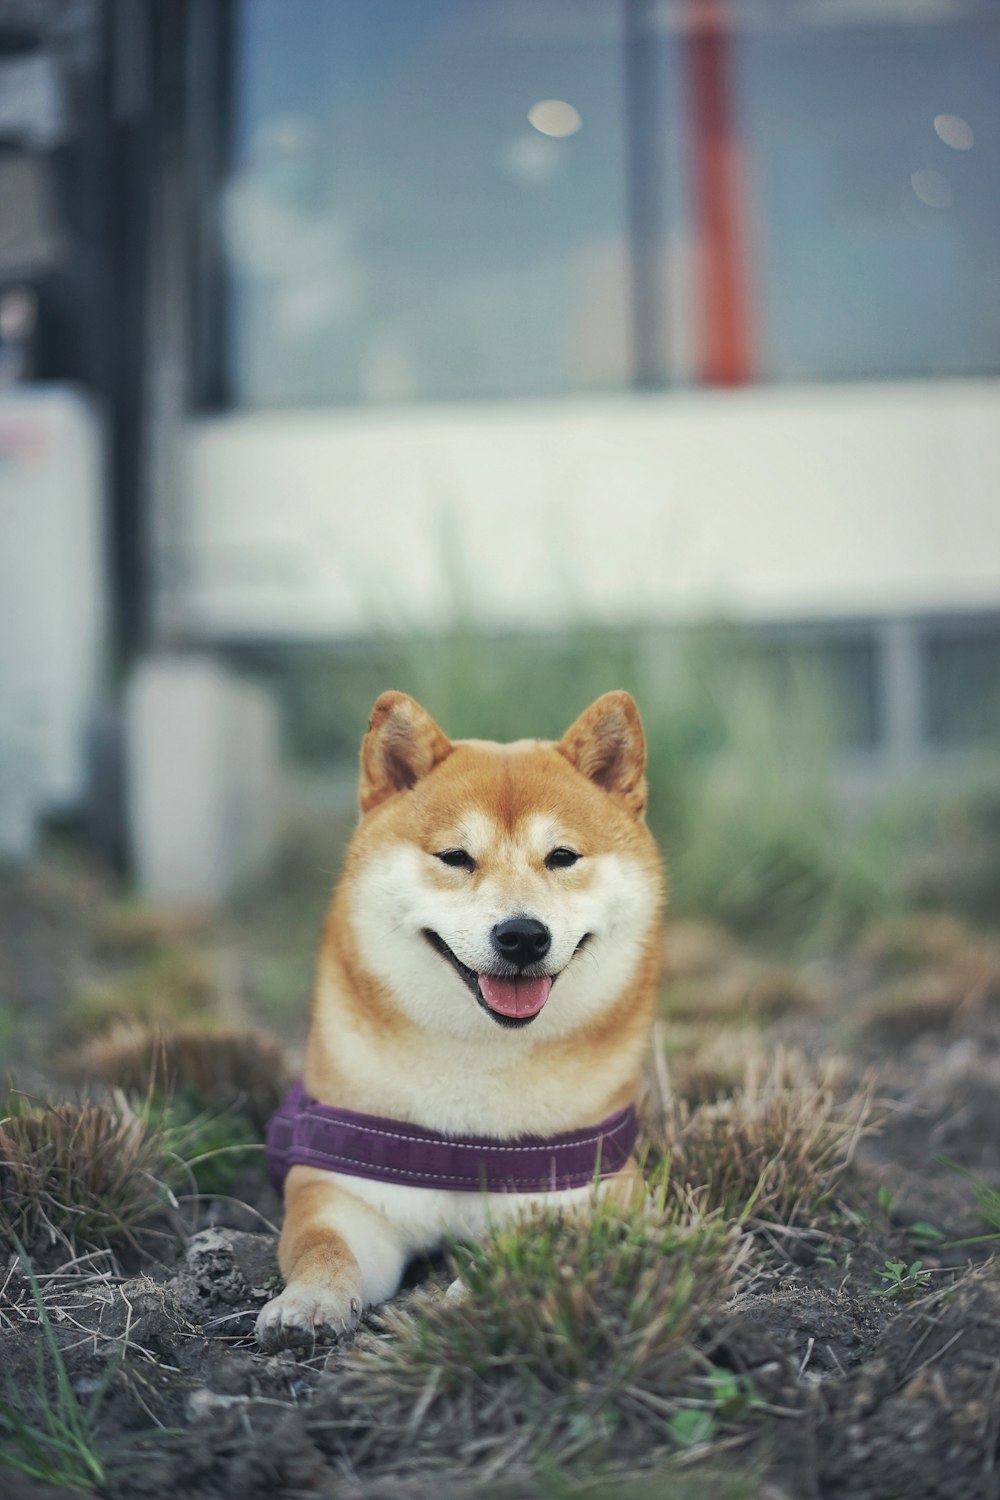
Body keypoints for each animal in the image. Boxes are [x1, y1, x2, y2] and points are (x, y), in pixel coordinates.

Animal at [256, 690, 665, 1350]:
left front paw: (468, 1298)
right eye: (455, 857)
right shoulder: (344, 1194)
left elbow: (539, 1238)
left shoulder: (606, 1192)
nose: (522, 935)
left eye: (562, 857)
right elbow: (322, 1248)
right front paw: (309, 1302)